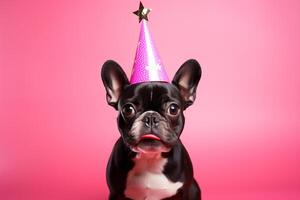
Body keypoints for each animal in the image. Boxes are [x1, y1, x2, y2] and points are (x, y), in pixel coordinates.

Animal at [101, 58, 202, 199]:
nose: (151, 117)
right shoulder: (115, 193)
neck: (150, 158)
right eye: (128, 109)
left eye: (173, 109)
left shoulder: (185, 191)